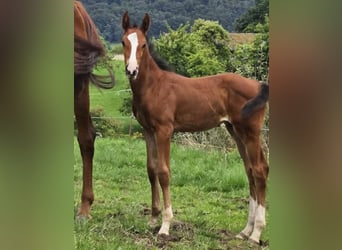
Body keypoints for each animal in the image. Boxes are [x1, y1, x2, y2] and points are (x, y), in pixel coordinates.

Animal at [121, 12, 268, 244]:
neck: (154, 86)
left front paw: (165, 226)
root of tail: (258, 85)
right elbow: (151, 169)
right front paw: (153, 219)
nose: (131, 70)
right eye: (123, 42)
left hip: (251, 132)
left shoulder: (164, 130)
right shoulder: (148, 131)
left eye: (143, 44)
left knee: (260, 170)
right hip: (236, 132)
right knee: (250, 170)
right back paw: (245, 231)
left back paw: (256, 234)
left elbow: (163, 172)